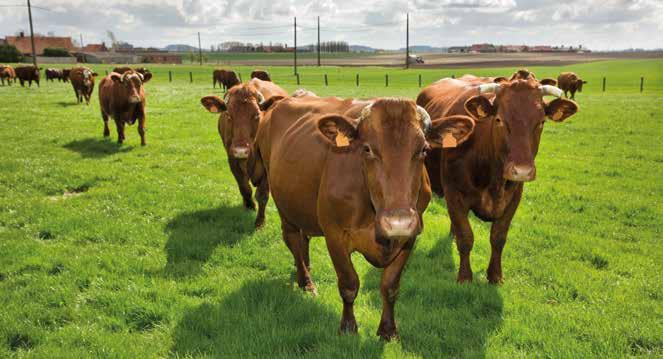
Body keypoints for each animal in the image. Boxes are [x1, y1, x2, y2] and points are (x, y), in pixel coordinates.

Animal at [200, 82, 288, 228]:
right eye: (228, 115)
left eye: (257, 115)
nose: (241, 150)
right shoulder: (233, 160)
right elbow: (245, 188)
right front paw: (249, 206)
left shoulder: (267, 167)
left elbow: (262, 195)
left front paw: (260, 221)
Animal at [249, 95, 478, 340]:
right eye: (367, 149)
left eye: (424, 150)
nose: (397, 222)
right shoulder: (335, 235)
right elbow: (349, 284)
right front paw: (348, 327)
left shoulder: (408, 237)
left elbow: (390, 286)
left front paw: (388, 330)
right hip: (283, 204)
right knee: (292, 238)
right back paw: (306, 281)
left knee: (303, 239)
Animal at [418, 69, 580, 284]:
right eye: (499, 120)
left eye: (541, 122)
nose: (522, 170)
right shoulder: (453, 192)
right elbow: (466, 237)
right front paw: (465, 277)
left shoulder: (514, 197)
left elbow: (498, 237)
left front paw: (495, 275)